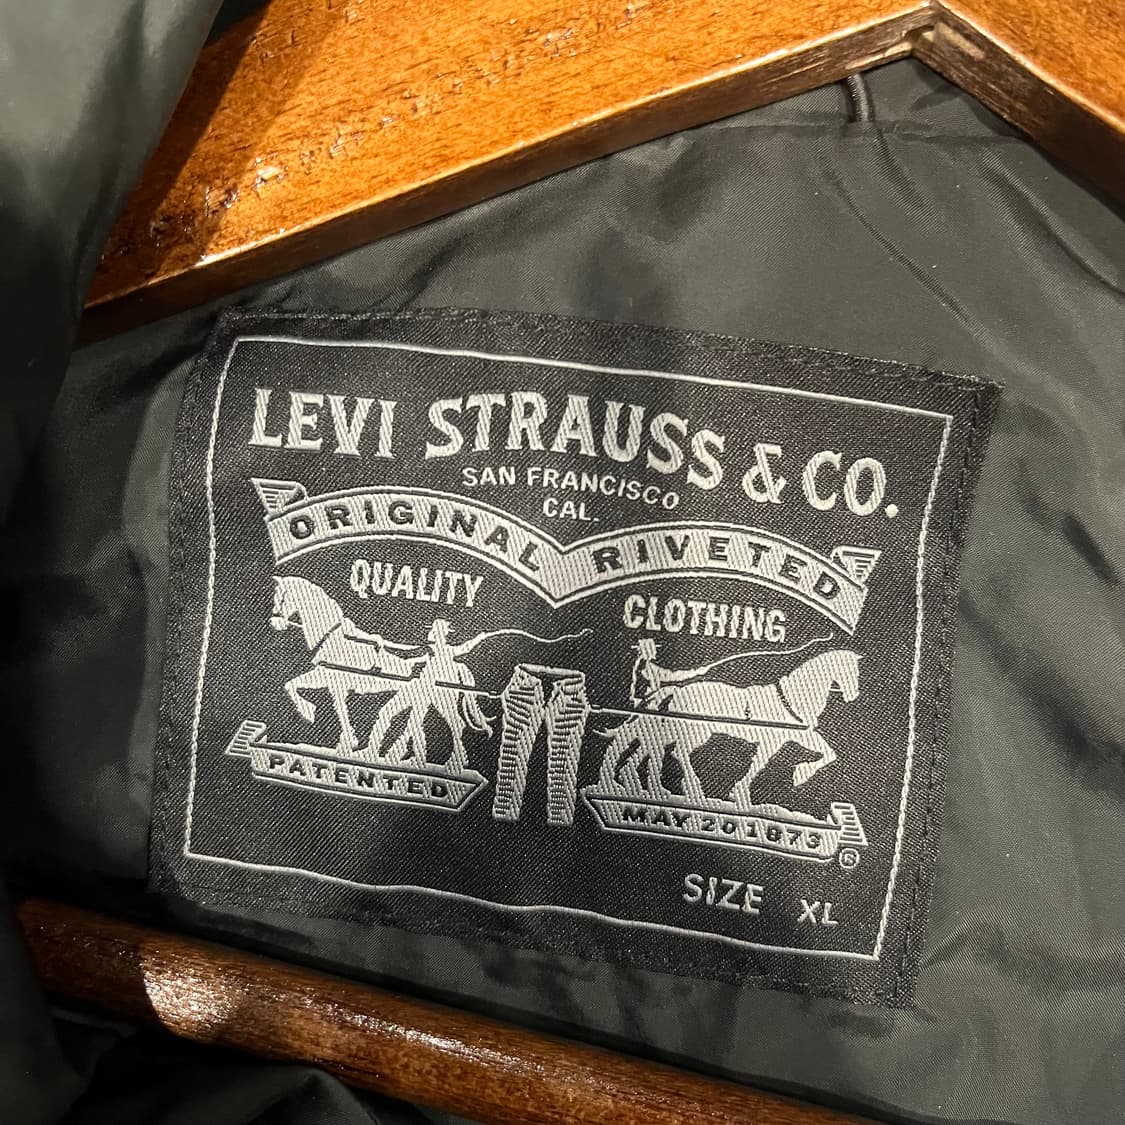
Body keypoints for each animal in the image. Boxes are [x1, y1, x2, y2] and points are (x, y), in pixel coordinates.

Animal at [597, 650, 860, 806]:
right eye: (852, 672)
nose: (853, 696)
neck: (792, 699)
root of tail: (677, 689)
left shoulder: (796, 736)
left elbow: (828, 752)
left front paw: (798, 775)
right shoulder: (773, 741)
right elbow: (758, 765)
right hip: (696, 731)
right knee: (675, 752)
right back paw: (689, 788)